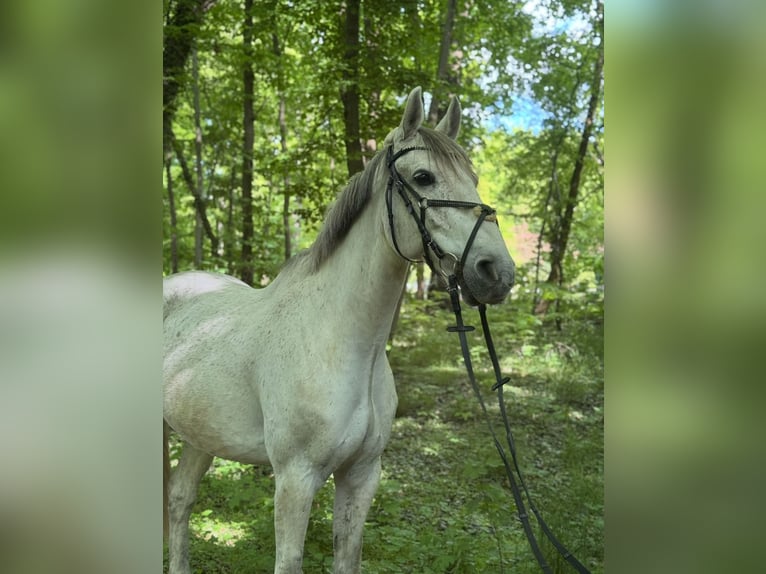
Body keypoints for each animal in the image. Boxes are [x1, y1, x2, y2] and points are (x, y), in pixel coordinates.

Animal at [163, 87, 515, 574]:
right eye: (423, 177)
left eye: (474, 178)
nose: (496, 272)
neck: (342, 342)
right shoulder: (295, 479)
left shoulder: (361, 476)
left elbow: (347, 556)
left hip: (200, 433)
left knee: (180, 500)